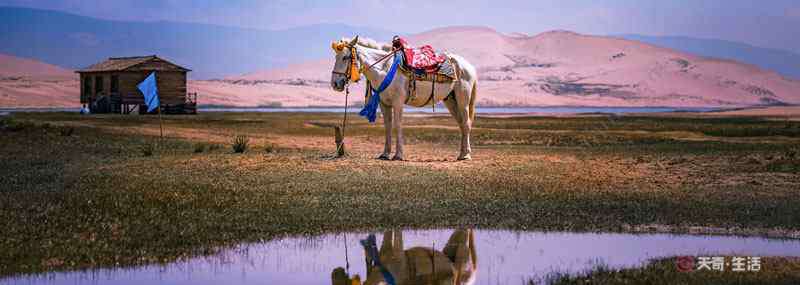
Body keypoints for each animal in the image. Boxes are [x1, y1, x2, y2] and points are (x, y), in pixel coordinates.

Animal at [330, 36, 478, 160]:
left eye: (345, 57)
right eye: (336, 57)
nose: (335, 84)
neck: (384, 68)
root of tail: (469, 66)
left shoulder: (398, 102)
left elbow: (398, 124)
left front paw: (398, 155)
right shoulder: (384, 103)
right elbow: (388, 125)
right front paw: (385, 154)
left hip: (463, 100)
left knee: (466, 123)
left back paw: (465, 155)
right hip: (451, 100)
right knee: (461, 124)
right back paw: (461, 153)